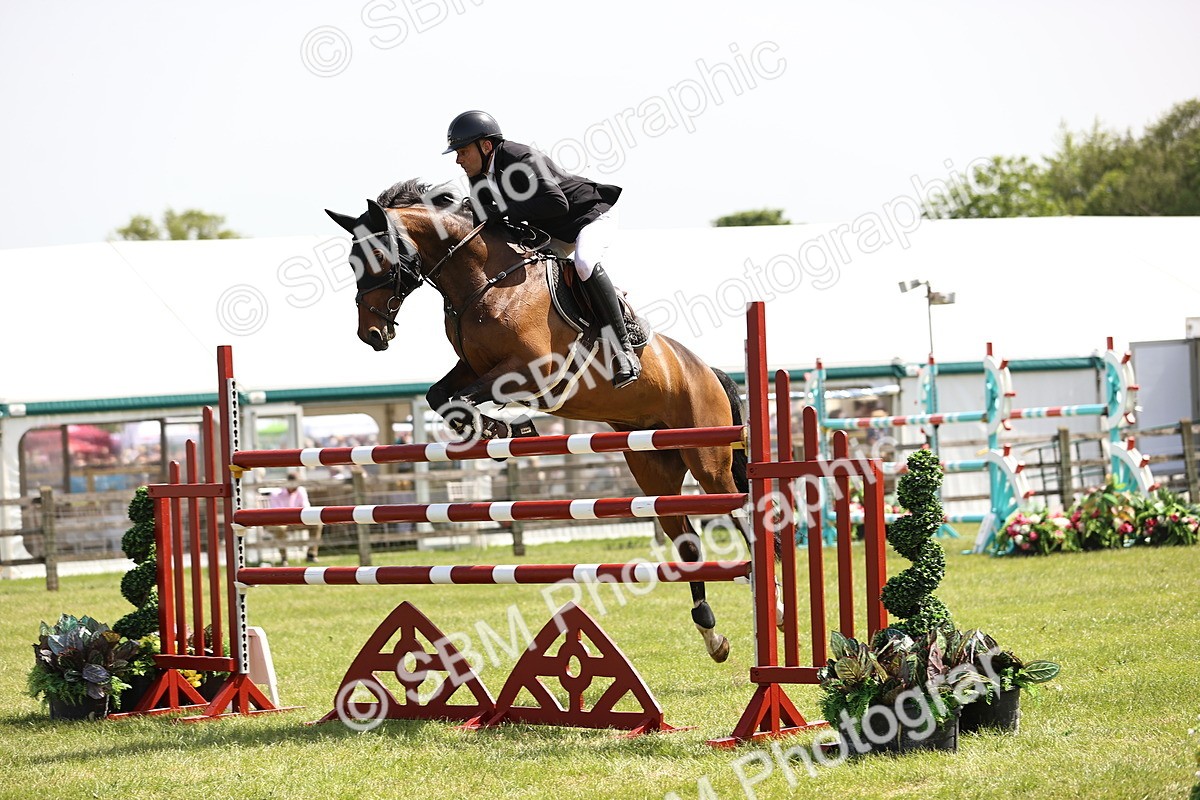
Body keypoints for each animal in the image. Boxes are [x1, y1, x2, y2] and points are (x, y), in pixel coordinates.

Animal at [325, 180, 750, 662]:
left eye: (377, 255)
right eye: (351, 261)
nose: (371, 335)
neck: (484, 281)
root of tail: (706, 370)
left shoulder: (533, 373)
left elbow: (464, 398)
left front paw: (503, 427)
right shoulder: (473, 368)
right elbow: (441, 397)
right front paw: (494, 429)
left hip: (708, 459)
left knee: (740, 517)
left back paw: (769, 603)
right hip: (653, 467)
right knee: (687, 541)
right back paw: (711, 633)